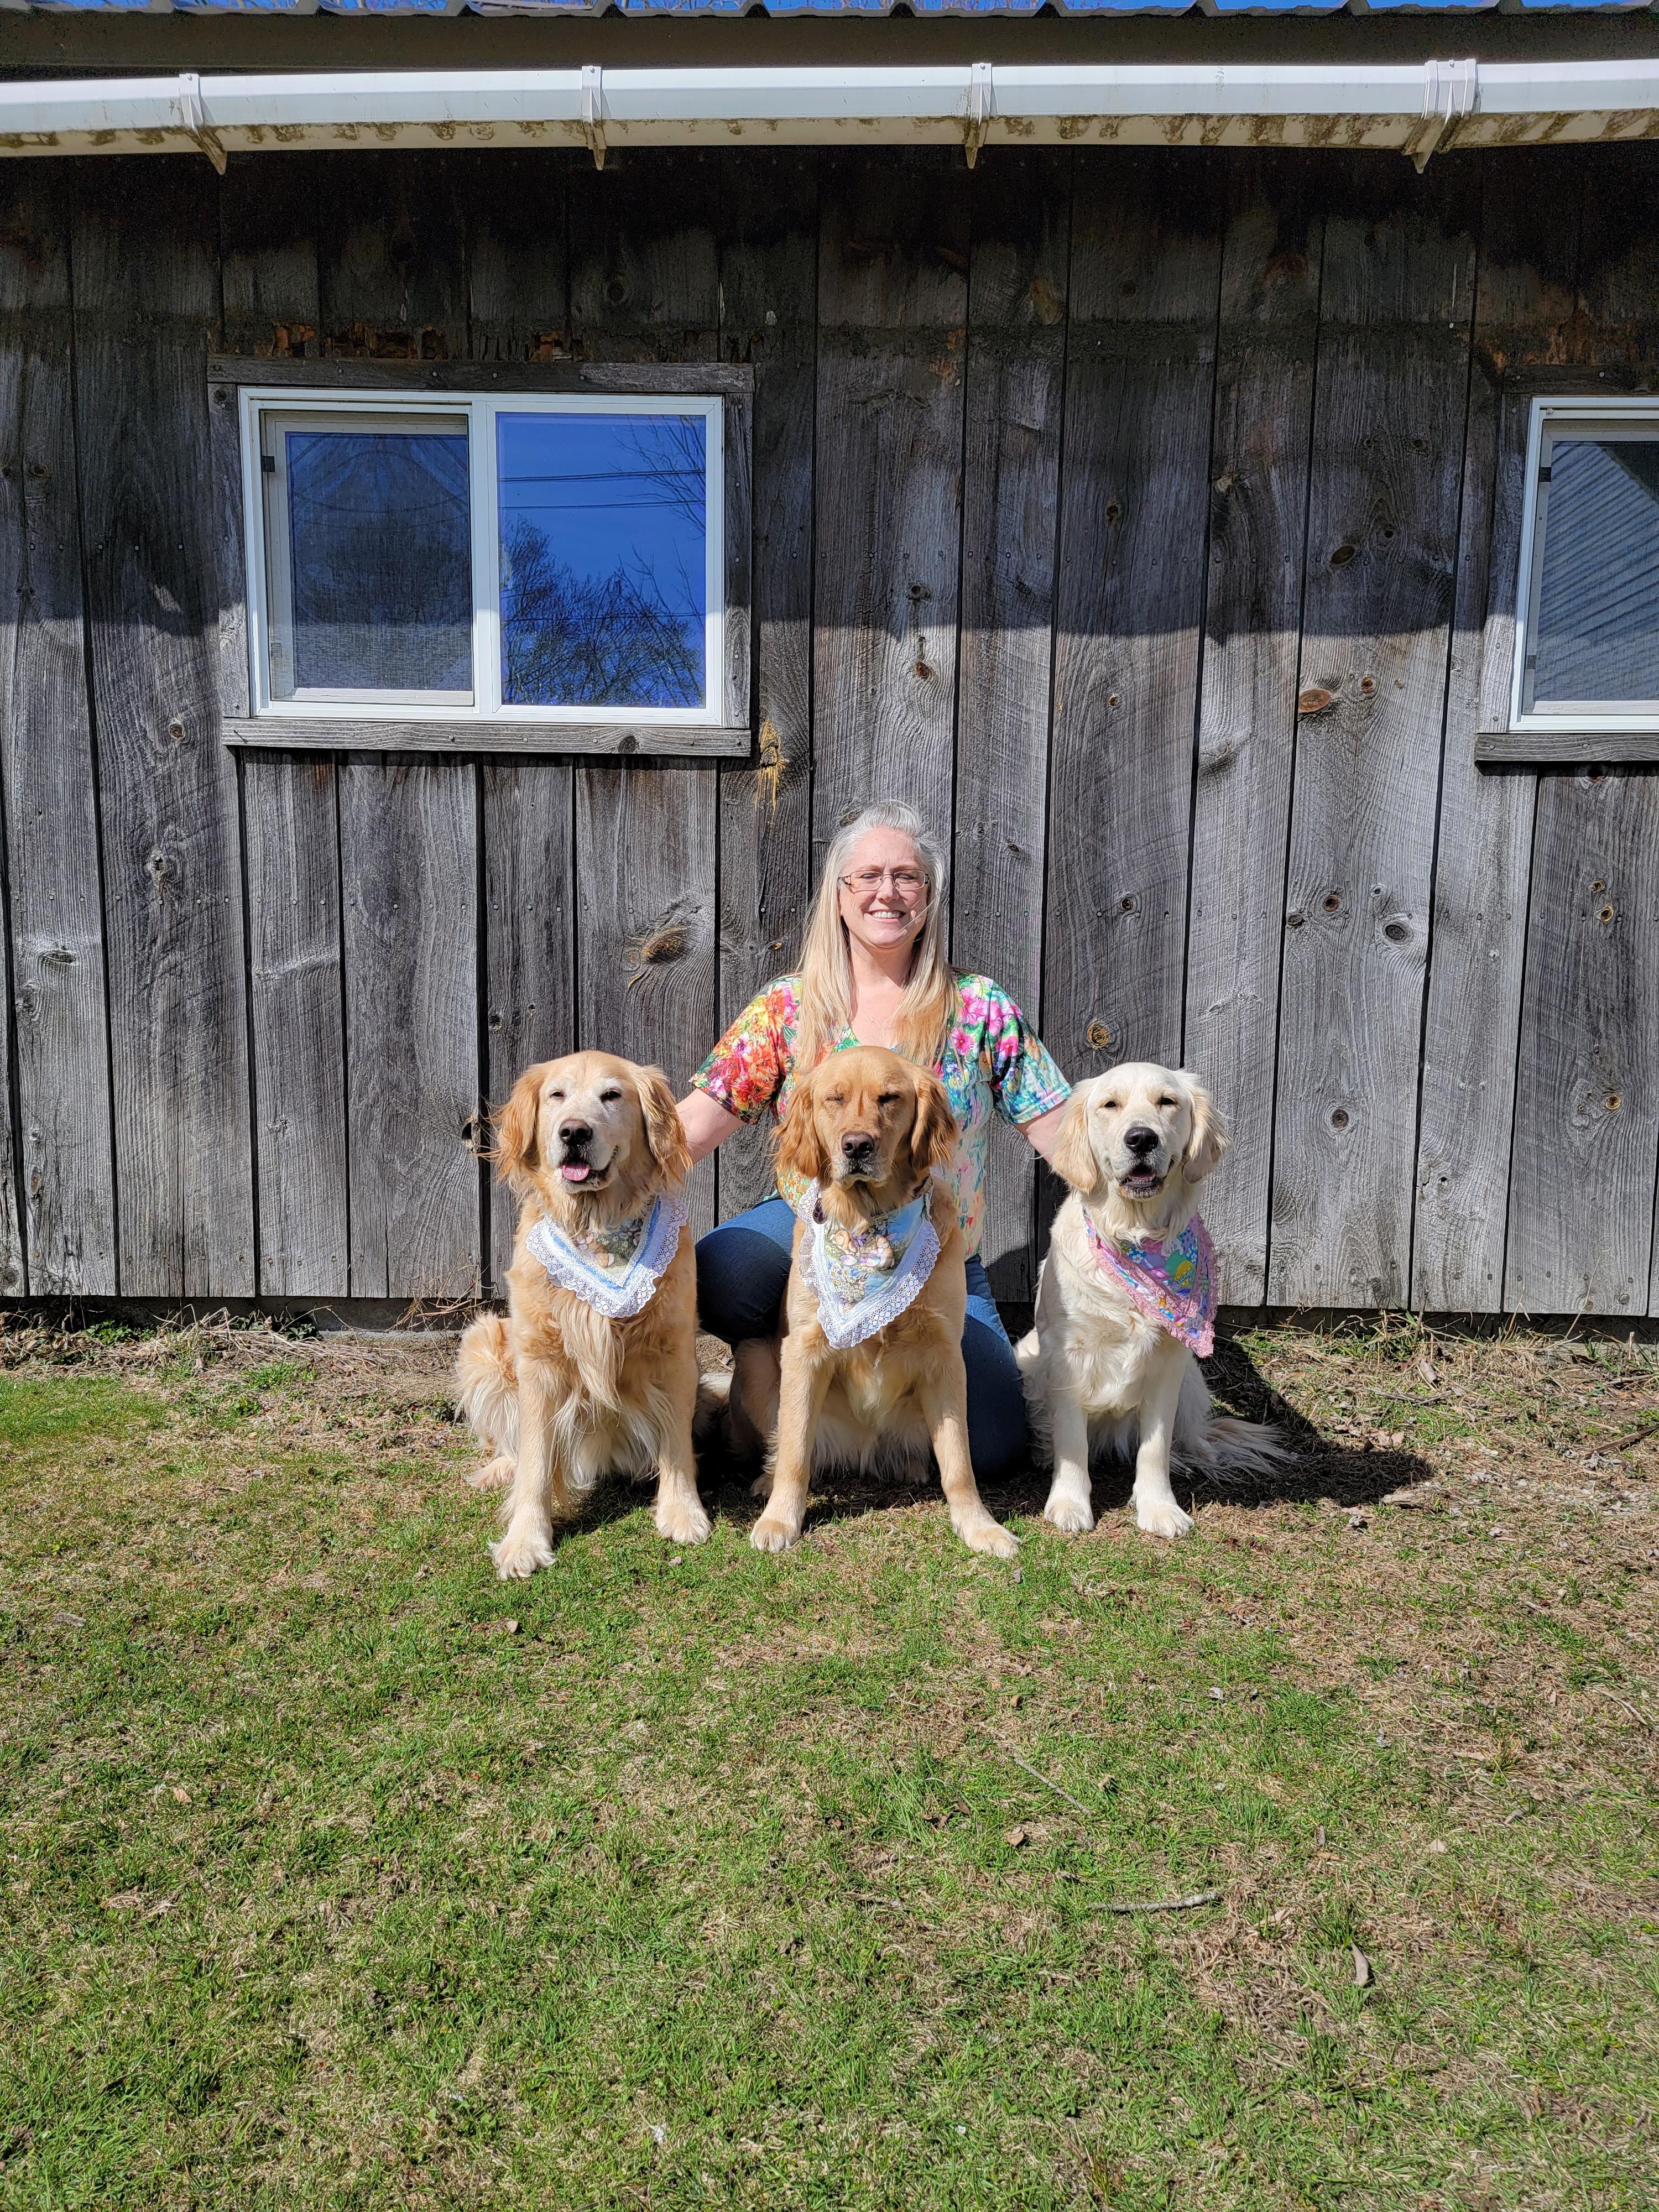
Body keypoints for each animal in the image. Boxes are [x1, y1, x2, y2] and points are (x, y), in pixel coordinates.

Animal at [455, 1051, 709, 1579]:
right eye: (557, 1095)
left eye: (612, 1095)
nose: (574, 1132)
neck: (598, 1227)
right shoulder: (539, 1362)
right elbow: (535, 1463)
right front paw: (525, 1541)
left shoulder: (675, 1353)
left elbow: (676, 1445)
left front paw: (682, 1512)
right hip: (483, 1341)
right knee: (512, 1444)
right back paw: (499, 1469)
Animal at [744, 1045, 1019, 1562]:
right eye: (834, 1099)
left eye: (889, 1099)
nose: (857, 1146)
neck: (869, 1223)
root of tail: (863, 1448)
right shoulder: (805, 1348)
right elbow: (795, 1451)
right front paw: (780, 1520)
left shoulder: (944, 1356)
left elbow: (960, 1462)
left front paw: (980, 1527)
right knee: (787, 1442)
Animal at [1016, 1063, 1289, 1539]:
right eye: (1110, 1104)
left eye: (1168, 1102)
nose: (1141, 1138)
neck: (1134, 1236)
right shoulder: (1067, 1358)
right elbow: (1071, 1439)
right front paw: (1069, 1503)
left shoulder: (1169, 1363)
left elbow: (1155, 1447)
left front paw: (1159, 1507)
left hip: (1193, 1380)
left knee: (1190, 1438)